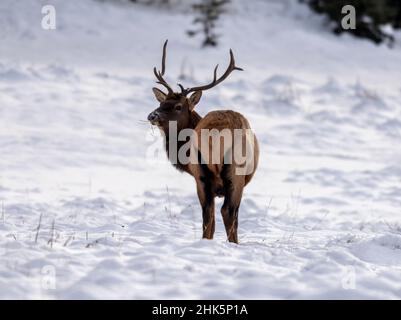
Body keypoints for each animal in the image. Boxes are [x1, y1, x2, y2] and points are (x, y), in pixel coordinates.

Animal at [148, 41, 260, 244]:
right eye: (161, 103)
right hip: (234, 171)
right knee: (227, 212)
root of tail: (216, 134)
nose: (152, 115)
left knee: (209, 215)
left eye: (178, 106)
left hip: (202, 173)